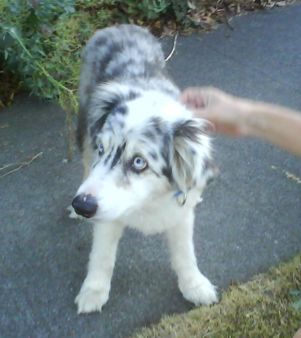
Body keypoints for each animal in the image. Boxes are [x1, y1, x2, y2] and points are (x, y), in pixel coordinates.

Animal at [72, 23, 218, 314]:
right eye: (102, 148)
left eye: (139, 162)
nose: (81, 205)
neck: (148, 202)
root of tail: (118, 26)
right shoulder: (106, 212)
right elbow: (102, 255)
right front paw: (93, 293)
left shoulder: (180, 214)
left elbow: (186, 253)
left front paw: (195, 286)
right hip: (84, 126)